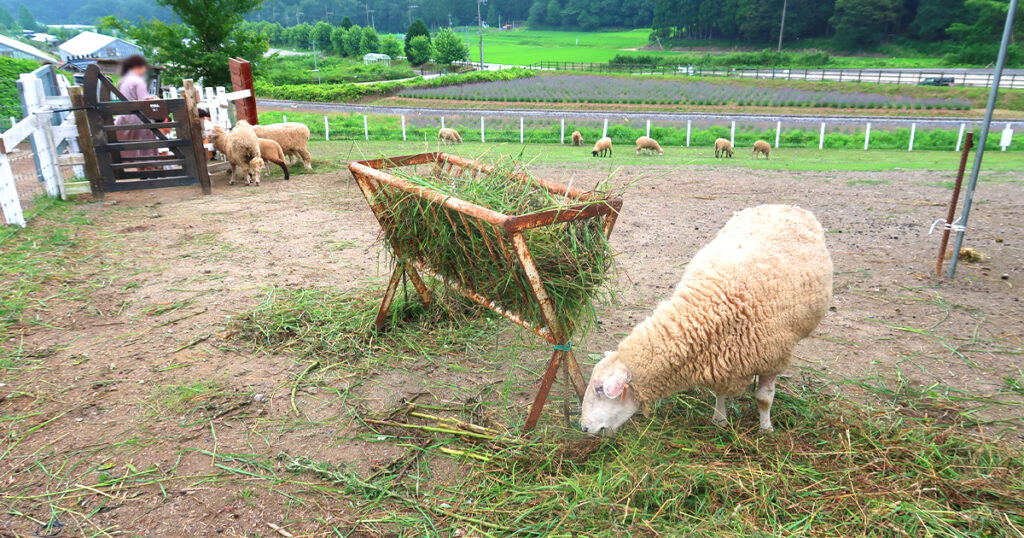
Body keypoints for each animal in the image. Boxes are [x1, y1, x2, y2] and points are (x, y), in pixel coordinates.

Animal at [581, 203, 835, 434]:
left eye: (599, 389)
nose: (583, 427)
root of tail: (784, 205)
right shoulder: (723, 359)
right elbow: (720, 391)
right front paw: (720, 420)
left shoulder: (773, 356)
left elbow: (764, 398)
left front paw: (766, 429)